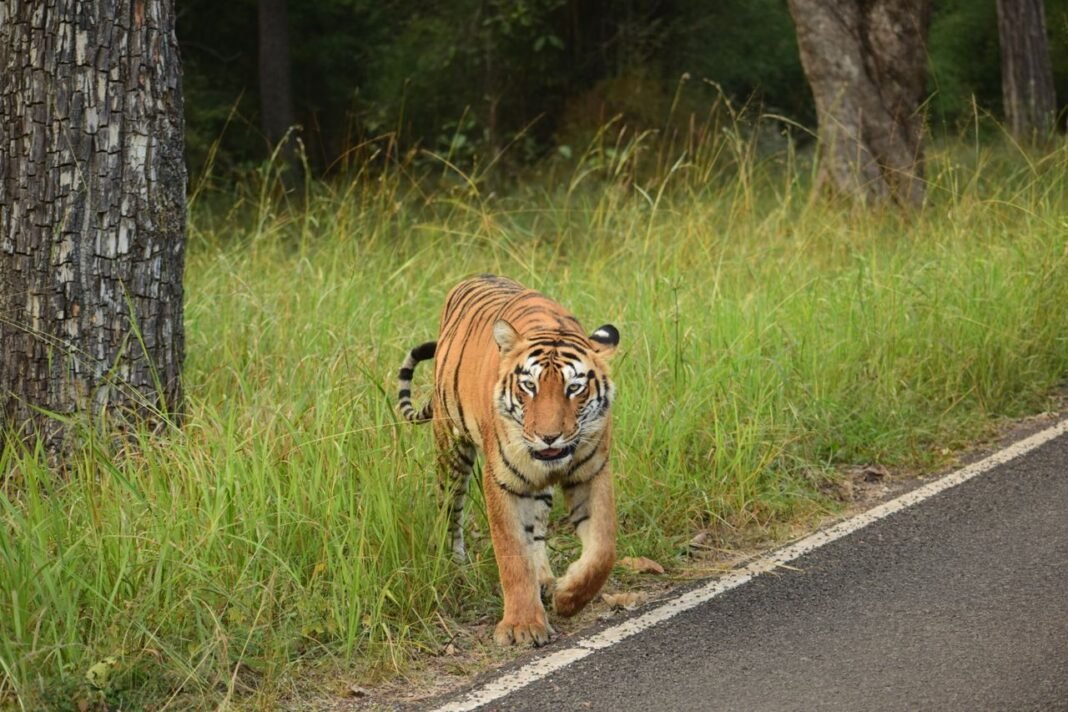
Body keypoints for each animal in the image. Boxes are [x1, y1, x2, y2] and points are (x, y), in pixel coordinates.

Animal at [397, 274, 620, 647]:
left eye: (574, 388)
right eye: (529, 386)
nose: (549, 437)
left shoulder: (591, 471)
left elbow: (602, 549)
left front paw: (568, 597)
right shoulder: (502, 481)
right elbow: (511, 551)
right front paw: (522, 626)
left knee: (538, 530)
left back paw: (544, 579)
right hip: (451, 448)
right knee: (450, 511)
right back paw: (456, 569)